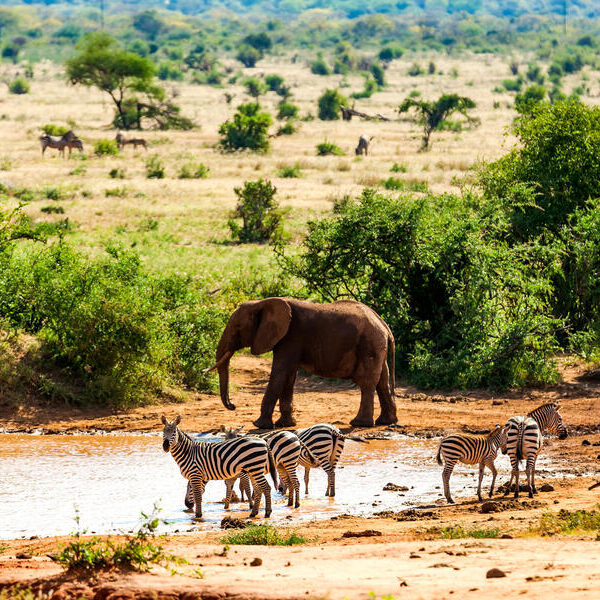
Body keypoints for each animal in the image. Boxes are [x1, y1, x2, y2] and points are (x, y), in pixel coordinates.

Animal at [206, 298, 398, 428]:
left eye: (237, 328)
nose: (233, 406)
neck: (261, 303)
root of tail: (385, 325)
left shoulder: (291, 336)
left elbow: (280, 373)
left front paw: (259, 425)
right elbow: (289, 377)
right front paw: (285, 425)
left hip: (369, 344)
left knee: (367, 382)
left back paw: (359, 423)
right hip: (376, 345)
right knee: (382, 381)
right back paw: (385, 421)